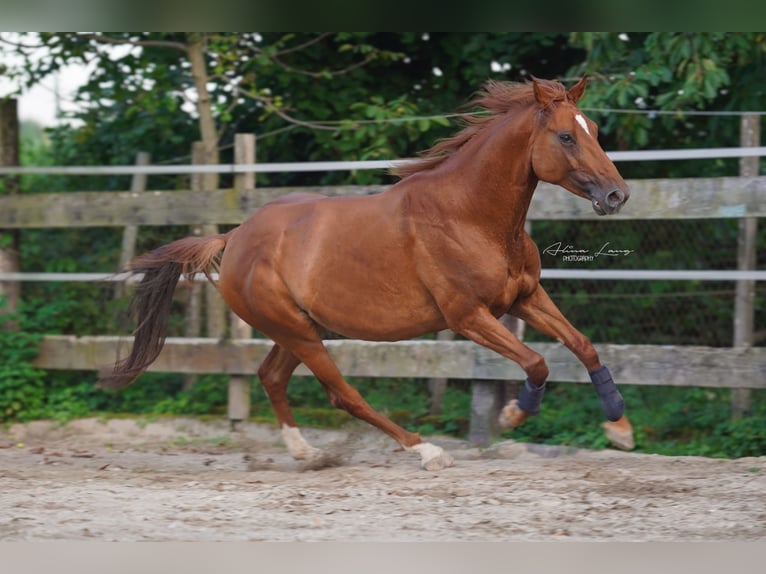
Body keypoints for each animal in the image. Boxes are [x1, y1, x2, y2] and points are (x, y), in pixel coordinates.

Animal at [102, 77, 636, 472]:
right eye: (566, 136)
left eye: (593, 129)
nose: (617, 195)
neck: (469, 215)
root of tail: (234, 238)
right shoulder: (467, 317)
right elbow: (537, 362)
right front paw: (511, 416)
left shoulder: (524, 297)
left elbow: (583, 344)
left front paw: (619, 429)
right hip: (298, 332)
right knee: (343, 395)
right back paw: (426, 450)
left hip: (301, 328)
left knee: (271, 376)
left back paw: (307, 453)